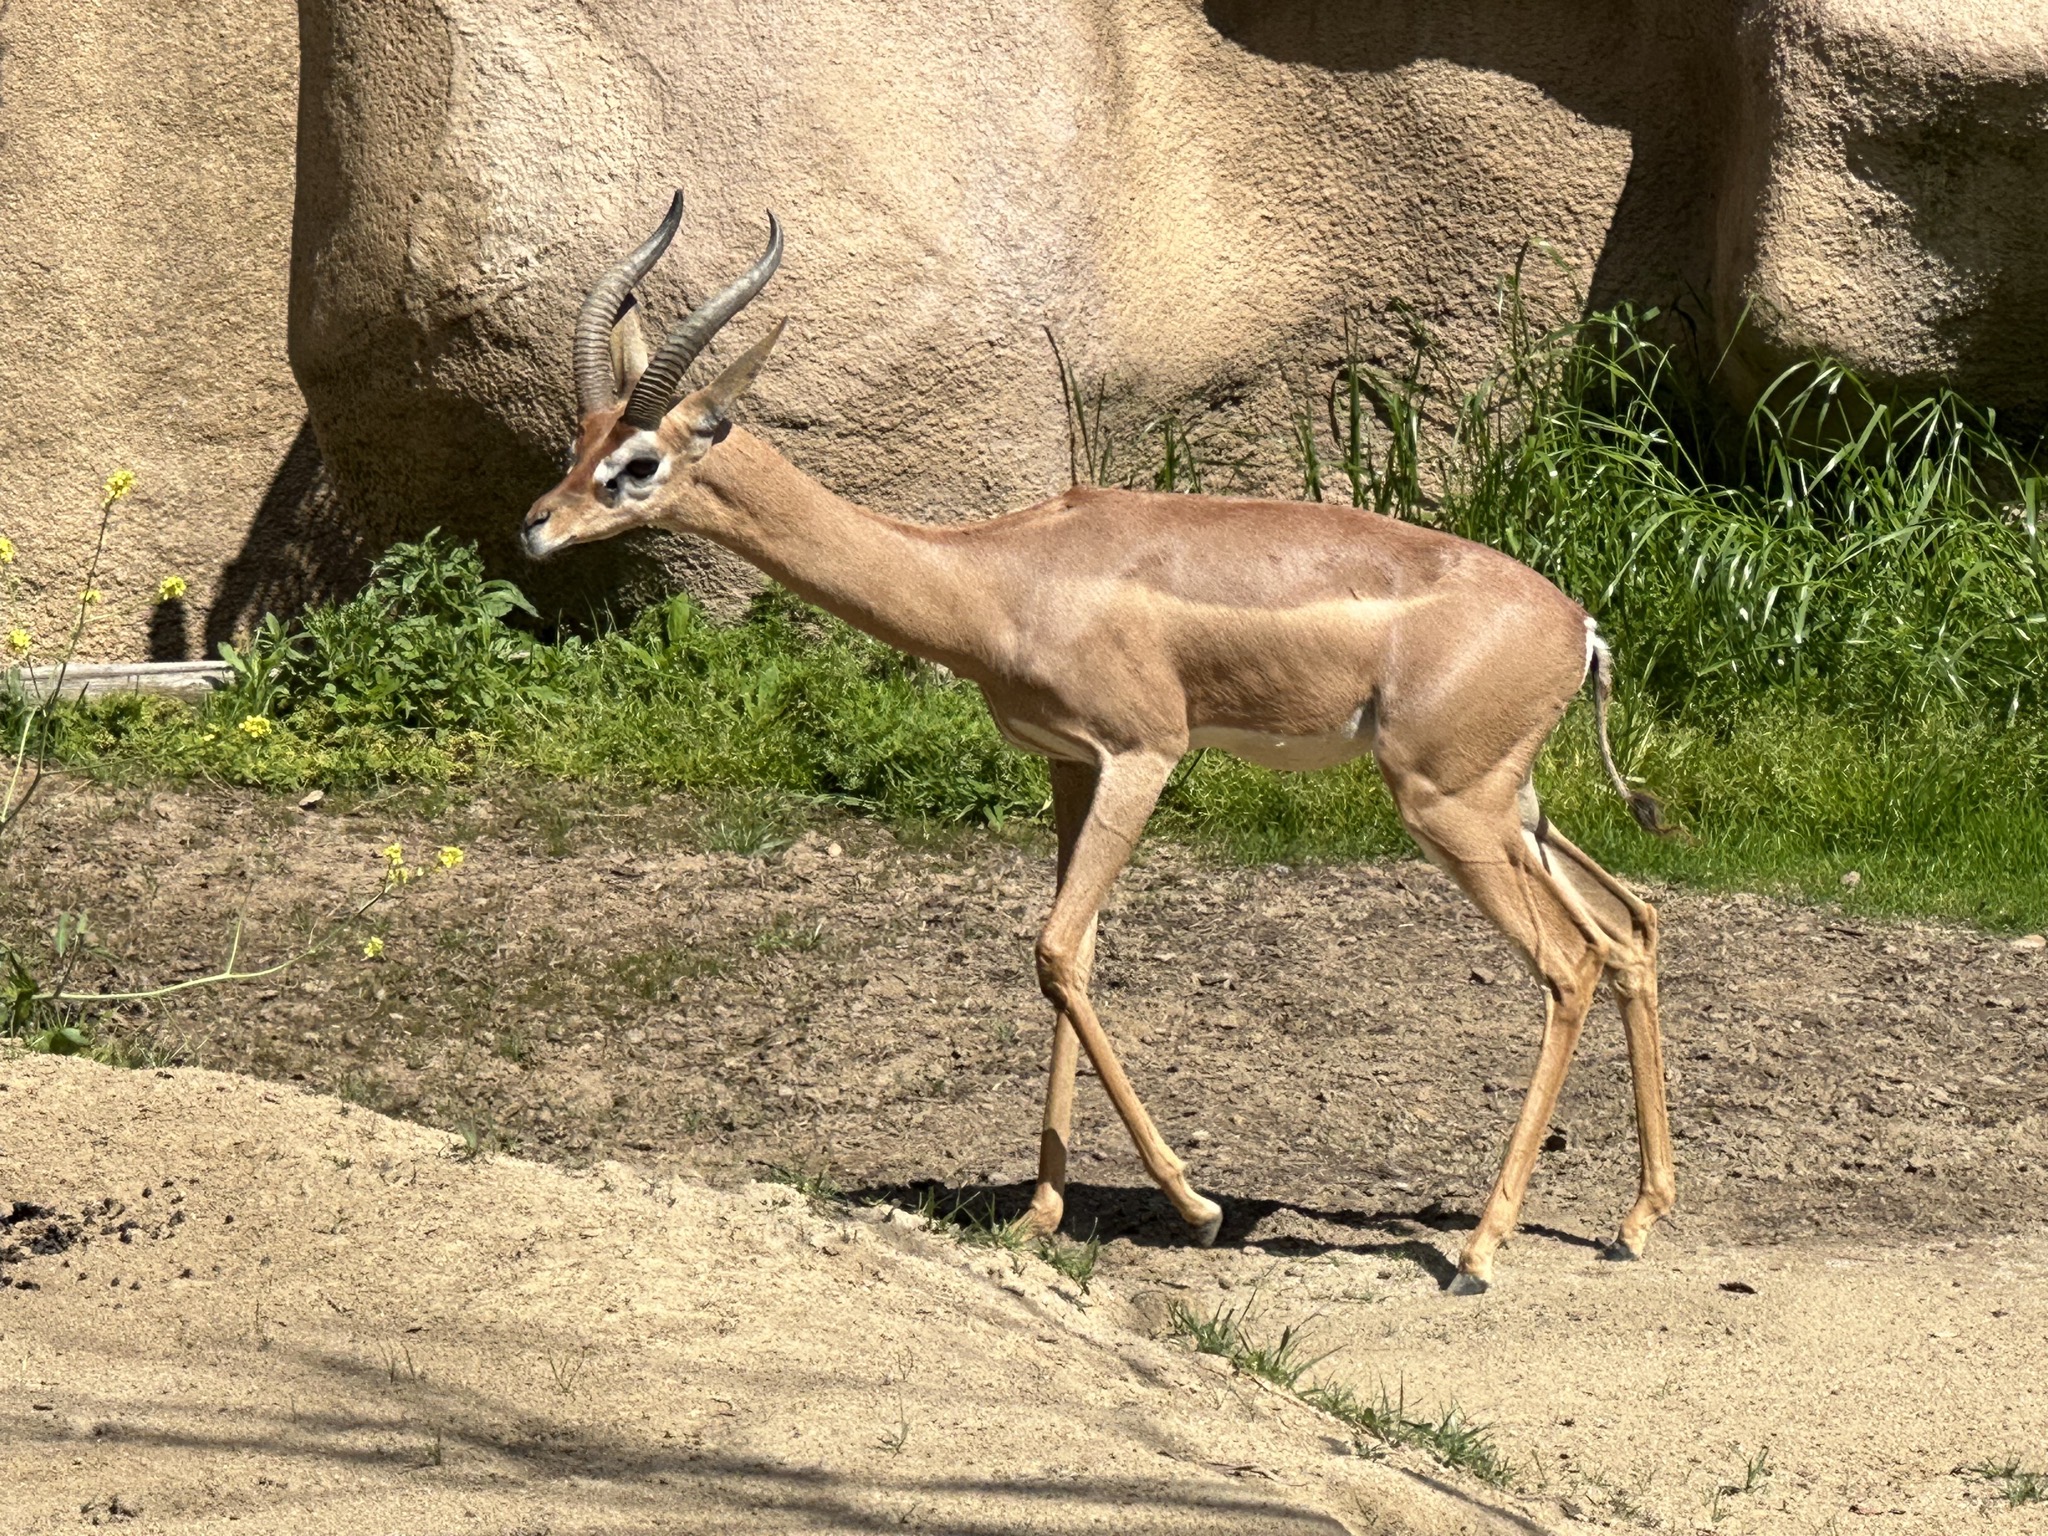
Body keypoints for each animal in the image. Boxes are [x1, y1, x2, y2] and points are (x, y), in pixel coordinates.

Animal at [522, 194, 1677, 1292]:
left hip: (1447, 807)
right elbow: (1067, 956)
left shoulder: (1142, 755)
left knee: (1570, 963)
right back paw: (1634, 1221)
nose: (535, 526)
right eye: (576, 442)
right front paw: (1040, 1213)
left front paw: (1198, 1208)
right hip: (1511, 804)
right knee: (1631, 926)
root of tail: (1581, 627)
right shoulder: (1067, 764)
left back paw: (1480, 1250)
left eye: (637, 461)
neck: (997, 576)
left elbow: (1056, 948)